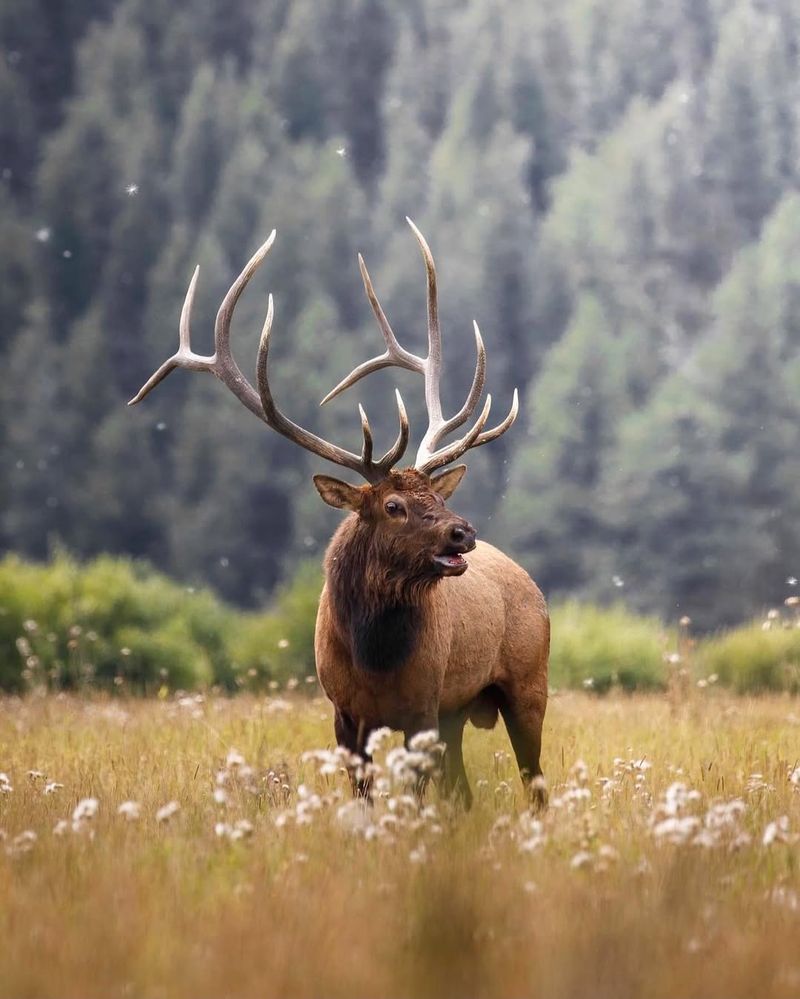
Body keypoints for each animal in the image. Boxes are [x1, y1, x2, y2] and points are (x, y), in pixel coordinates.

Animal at [131, 223, 552, 808]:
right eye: (394, 505)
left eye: (438, 496)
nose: (463, 532)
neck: (374, 658)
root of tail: (529, 582)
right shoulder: (345, 714)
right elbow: (365, 794)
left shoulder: (424, 707)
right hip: (459, 712)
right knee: (466, 791)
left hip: (529, 685)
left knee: (534, 781)